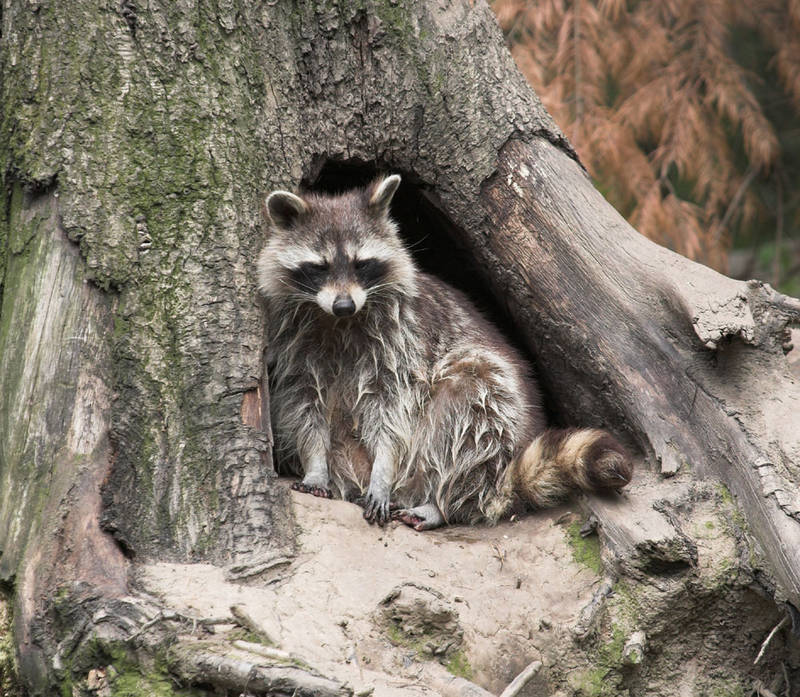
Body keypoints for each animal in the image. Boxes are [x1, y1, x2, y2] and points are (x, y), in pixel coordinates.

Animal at [256, 174, 632, 528]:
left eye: (361, 264)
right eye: (319, 267)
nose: (344, 305)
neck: (337, 322)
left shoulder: (402, 344)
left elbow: (393, 413)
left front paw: (383, 469)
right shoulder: (295, 347)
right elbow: (302, 406)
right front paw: (314, 463)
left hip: (494, 409)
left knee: (468, 407)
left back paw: (442, 499)